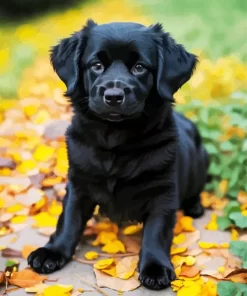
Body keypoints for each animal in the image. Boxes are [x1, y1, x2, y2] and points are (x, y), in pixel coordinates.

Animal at [28, 19, 208, 290]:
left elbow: (156, 232)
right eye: (96, 65)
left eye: (139, 67)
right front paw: (53, 251)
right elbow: (68, 221)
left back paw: (194, 205)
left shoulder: (163, 192)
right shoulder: (78, 183)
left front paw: (155, 266)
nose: (113, 96)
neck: (116, 141)